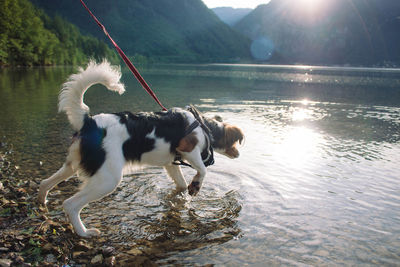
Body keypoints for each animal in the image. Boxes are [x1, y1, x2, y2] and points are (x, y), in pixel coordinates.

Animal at [38, 61, 244, 239]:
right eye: (235, 143)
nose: (239, 154)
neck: (203, 125)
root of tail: (89, 122)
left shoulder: (171, 164)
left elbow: (181, 184)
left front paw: (183, 193)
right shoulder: (188, 149)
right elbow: (202, 169)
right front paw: (196, 186)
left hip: (71, 166)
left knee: (45, 183)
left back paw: (42, 203)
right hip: (108, 179)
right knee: (70, 204)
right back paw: (84, 232)